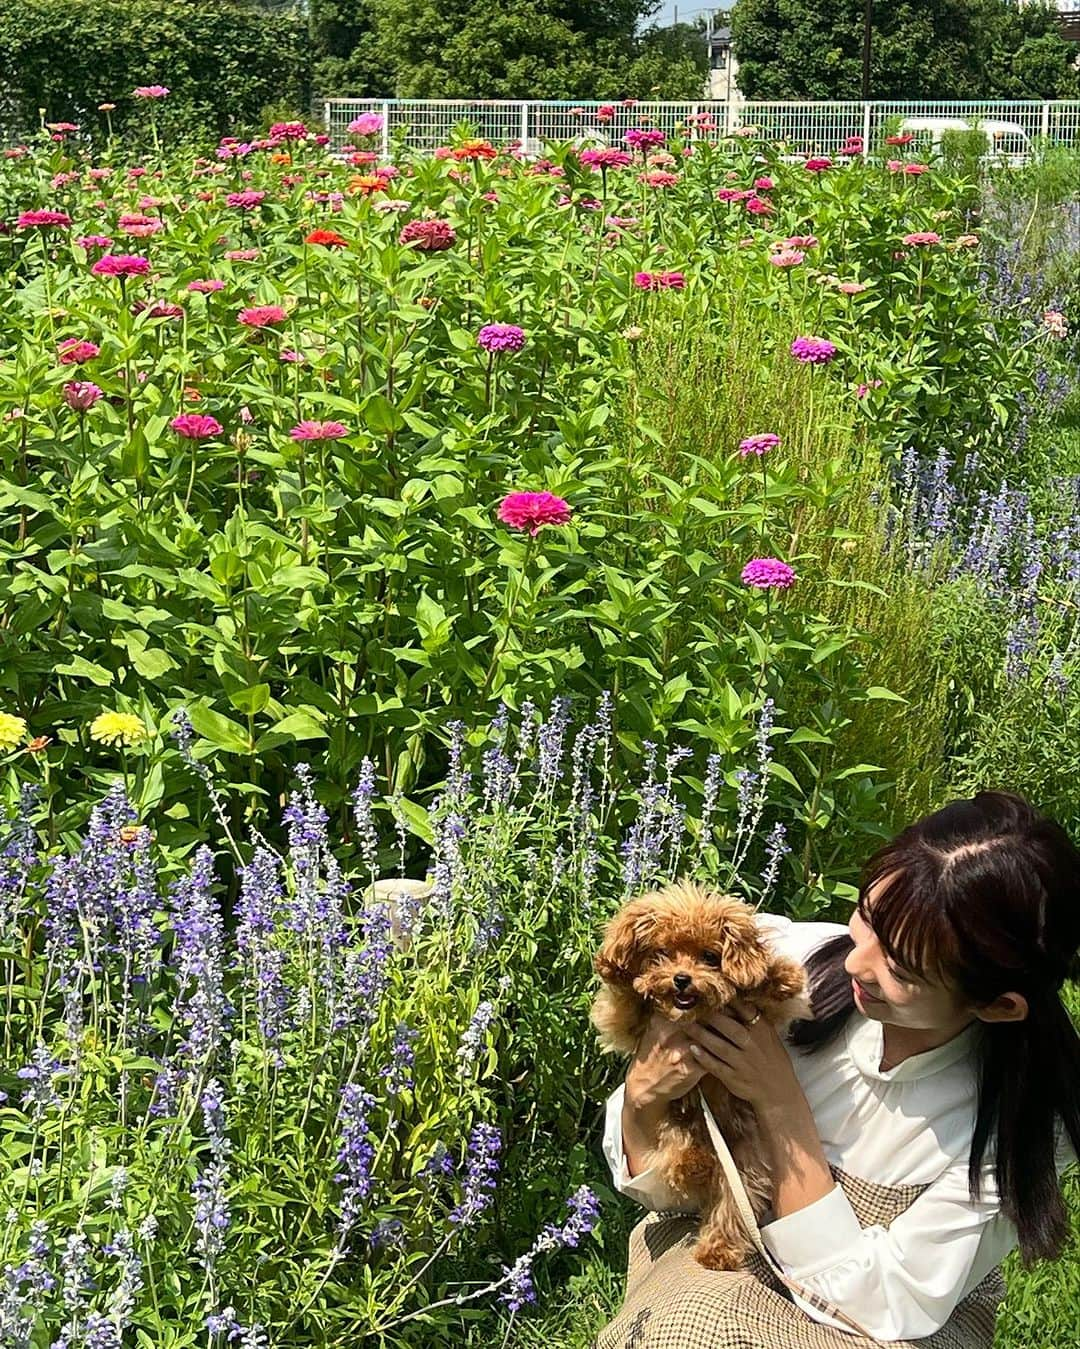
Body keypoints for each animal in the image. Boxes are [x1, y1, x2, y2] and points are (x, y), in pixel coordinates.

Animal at [590, 879, 808, 1268]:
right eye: (662, 952)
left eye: (709, 956)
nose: (681, 979)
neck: (690, 1017)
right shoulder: (627, 1023)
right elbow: (625, 1000)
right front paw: (617, 970)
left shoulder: (762, 1016)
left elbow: (766, 992)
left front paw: (777, 977)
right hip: (679, 1119)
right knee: (677, 1148)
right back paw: (692, 1163)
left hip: (742, 1161)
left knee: (731, 1206)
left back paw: (717, 1250)